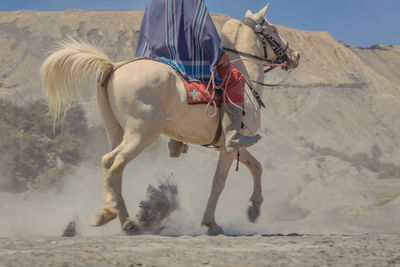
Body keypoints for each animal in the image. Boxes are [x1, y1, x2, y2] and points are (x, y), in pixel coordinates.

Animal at [40, 3, 300, 236]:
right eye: (273, 30)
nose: (295, 56)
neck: (246, 80)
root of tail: (112, 67)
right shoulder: (230, 145)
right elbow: (218, 183)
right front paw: (211, 223)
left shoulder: (230, 145)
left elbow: (257, 166)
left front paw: (254, 209)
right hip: (141, 134)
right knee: (113, 163)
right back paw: (108, 214)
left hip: (116, 132)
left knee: (112, 168)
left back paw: (127, 223)